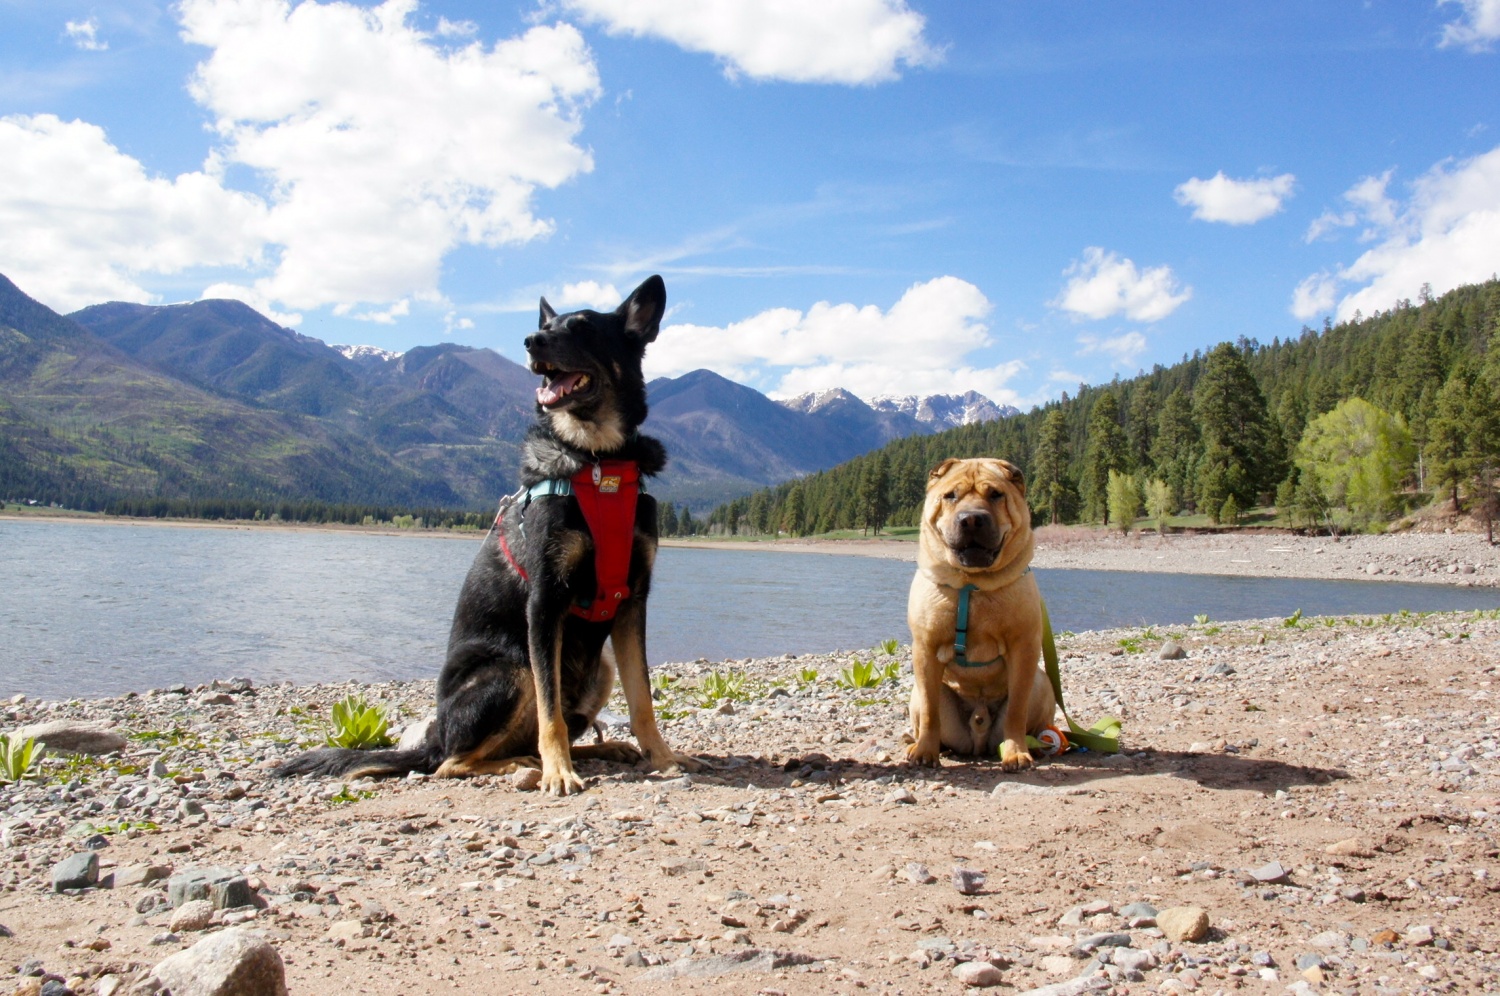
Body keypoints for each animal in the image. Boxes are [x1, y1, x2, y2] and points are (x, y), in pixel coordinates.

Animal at [276, 276, 696, 798]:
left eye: (582, 328)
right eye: (548, 328)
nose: (531, 341)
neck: (598, 460)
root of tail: (434, 736)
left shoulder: (633, 599)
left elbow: (642, 700)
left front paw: (663, 757)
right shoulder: (545, 601)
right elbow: (551, 716)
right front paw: (559, 773)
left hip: (599, 668)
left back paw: (597, 750)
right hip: (510, 669)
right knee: (452, 762)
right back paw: (527, 765)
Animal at [900, 456, 1056, 768]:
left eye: (995, 494)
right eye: (951, 495)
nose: (971, 518)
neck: (972, 585)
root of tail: (978, 731)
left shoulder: (1024, 647)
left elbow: (1016, 709)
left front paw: (1016, 752)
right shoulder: (925, 648)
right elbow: (930, 711)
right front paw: (925, 752)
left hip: (1043, 684)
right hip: (916, 695)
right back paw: (921, 745)